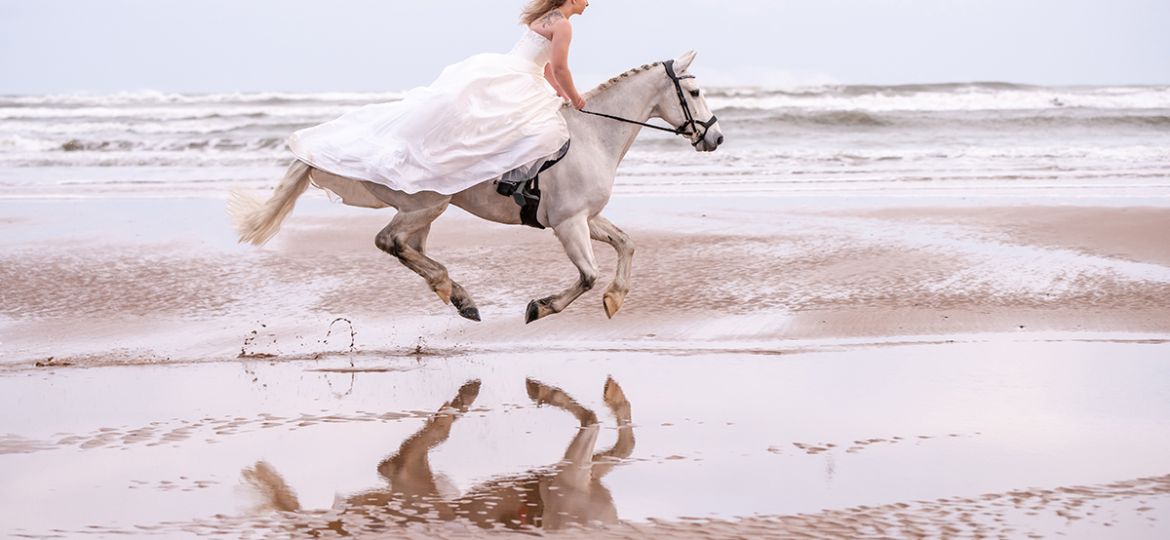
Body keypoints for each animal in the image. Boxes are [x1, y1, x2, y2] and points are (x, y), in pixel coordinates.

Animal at [230, 50, 720, 322]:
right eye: (695, 94)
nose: (714, 138)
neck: (592, 136)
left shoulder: (586, 218)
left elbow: (627, 244)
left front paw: (615, 299)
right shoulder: (568, 223)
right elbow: (587, 275)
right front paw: (540, 308)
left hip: (426, 212)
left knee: (409, 248)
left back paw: (456, 294)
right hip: (425, 205)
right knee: (389, 241)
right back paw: (455, 293)